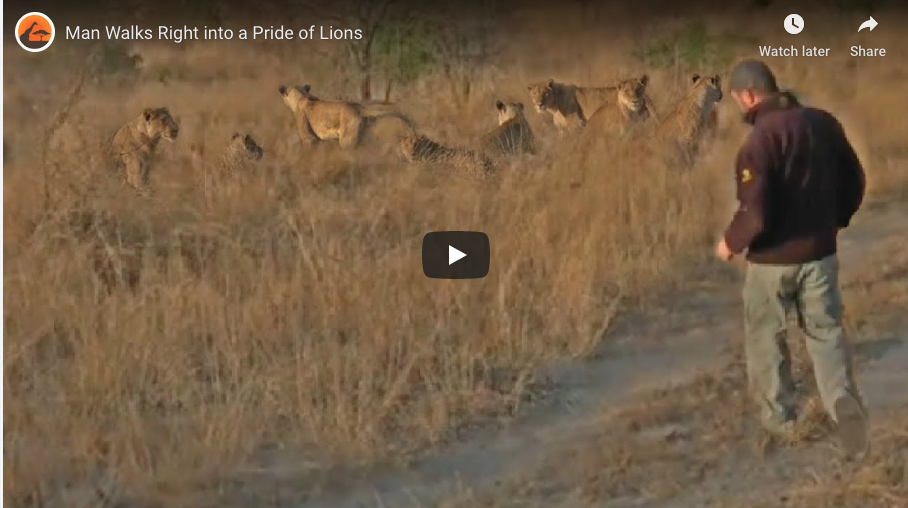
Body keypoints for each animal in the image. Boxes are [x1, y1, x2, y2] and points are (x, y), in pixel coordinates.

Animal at [526, 76, 656, 134]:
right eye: (534, 94)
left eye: (545, 93)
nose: (539, 104)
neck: (554, 107)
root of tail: (646, 95)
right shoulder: (562, 130)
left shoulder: (576, 125)